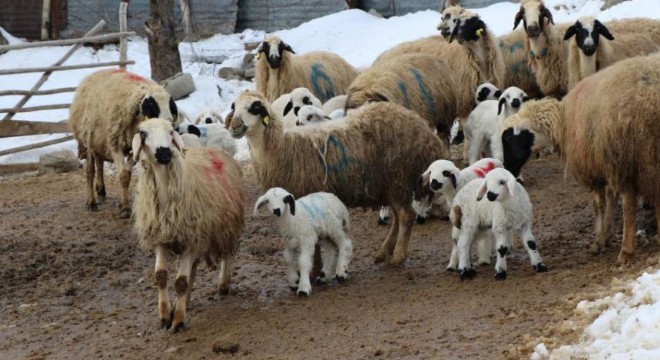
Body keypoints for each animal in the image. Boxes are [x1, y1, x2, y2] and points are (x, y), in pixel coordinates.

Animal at [131, 117, 245, 332]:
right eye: (143, 133)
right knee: (193, 267)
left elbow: (181, 282)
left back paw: (223, 284)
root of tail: (212, 149)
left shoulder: (193, 238)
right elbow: (161, 276)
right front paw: (165, 315)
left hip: (225, 226)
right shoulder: (161, 238)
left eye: (170, 132)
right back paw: (186, 300)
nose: (164, 152)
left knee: (226, 254)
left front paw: (178, 321)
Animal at [227, 90, 448, 264]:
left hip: (397, 176)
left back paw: (398, 256)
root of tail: (426, 134)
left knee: (405, 216)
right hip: (391, 183)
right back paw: (384, 252)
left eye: (255, 108)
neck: (281, 148)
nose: (234, 127)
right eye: (234, 106)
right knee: (398, 216)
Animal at [500, 53, 660, 262]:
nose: (507, 169)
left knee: (628, 205)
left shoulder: (599, 165)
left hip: (627, 157)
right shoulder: (603, 163)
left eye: (509, 139)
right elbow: (610, 199)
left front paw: (599, 241)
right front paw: (607, 234)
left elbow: (599, 204)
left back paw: (626, 250)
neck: (563, 121)